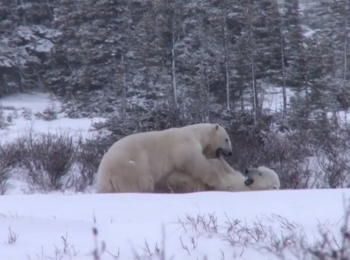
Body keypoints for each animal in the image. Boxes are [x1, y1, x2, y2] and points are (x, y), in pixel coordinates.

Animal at [95, 123, 232, 193]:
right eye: (226, 139)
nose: (230, 153)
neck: (196, 134)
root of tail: (106, 172)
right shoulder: (184, 145)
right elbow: (195, 162)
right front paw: (220, 184)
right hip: (130, 167)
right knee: (141, 183)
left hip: (104, 183)